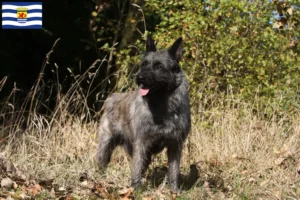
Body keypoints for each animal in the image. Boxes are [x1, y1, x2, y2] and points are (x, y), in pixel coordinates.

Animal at [96, 34, 190, 192]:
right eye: (144, 64)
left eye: (159, 66)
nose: (139, 78)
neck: (161, 107)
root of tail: (111, 98)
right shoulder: (141, 143)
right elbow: (136, 168)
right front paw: (136, 190)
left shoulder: (175, 145)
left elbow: (174, 170)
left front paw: (174, 191)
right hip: (106, 144)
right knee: (102, 162)